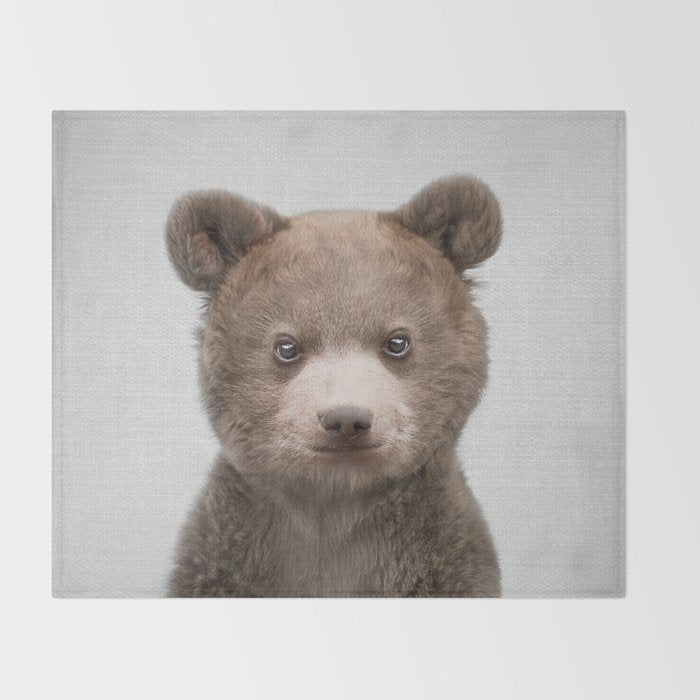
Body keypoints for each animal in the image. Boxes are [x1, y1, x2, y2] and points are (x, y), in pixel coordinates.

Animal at [165, 175, 502, 597]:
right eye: (287, 346)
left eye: (397, 341)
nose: (346, 419)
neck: (335, 507)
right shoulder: (228, 555)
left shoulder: (443, 557)